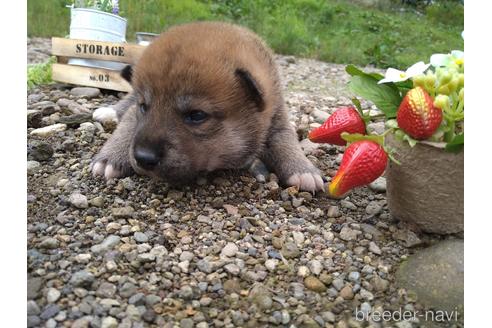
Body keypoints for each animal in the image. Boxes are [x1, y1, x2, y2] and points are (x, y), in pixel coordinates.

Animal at [92, 21, 322, 192]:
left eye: (196, 115)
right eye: (144, 107)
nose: (143, 157)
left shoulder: (277, 116)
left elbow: (286, 142)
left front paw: (304, 170)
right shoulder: (135, 111)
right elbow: (127, 127)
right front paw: (110, 157)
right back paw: (109, 112)